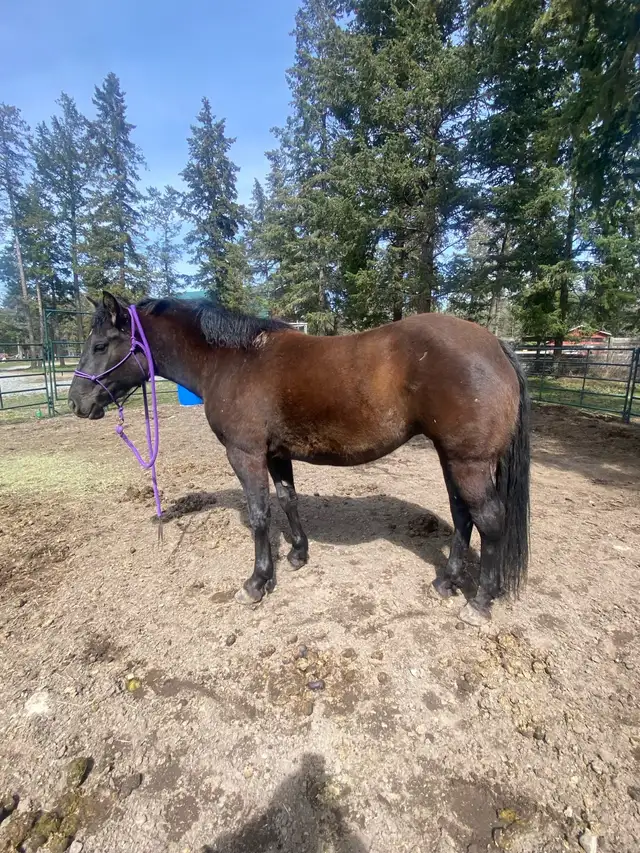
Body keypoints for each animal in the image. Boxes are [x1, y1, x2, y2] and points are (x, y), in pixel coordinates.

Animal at [68, 291, 530, 626]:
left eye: (100, 344)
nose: (76, 402)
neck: (233, 361)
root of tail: (495, 344)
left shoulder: (245, 455)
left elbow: (260, 515)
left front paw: (257, 583)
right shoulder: (276, 454)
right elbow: (287, 499)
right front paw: (297, 555)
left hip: (468, 462)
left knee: (489, 521)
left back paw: (480, 602)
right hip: (452, 457)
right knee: (462, 515)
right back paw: (447, 581)